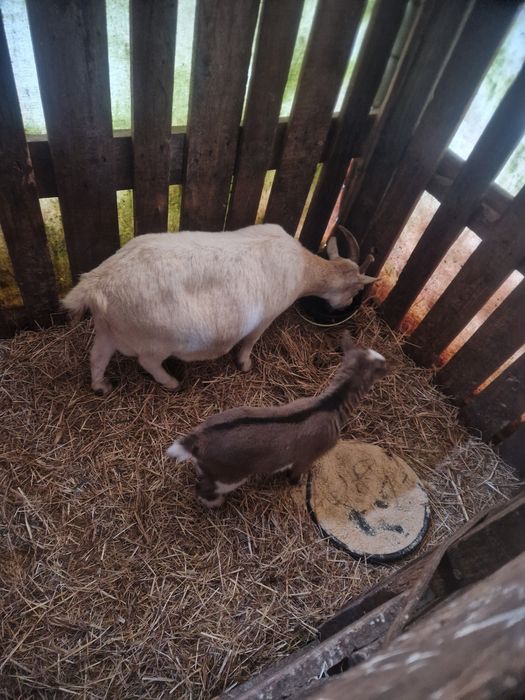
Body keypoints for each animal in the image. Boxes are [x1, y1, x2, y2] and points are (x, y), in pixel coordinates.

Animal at [62, 224, 375, 395]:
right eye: (355, 292)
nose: (346, 305)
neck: (303, 267)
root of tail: (97, 282)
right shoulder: (266, 316)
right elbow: (250, 342)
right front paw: (245, 365)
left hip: (107, 328)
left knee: (97, 357)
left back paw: (101, 386)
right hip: (156, 339)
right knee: (147, 362)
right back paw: (171, 381)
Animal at [166, 332, 388, 507]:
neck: (331, 403)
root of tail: (197, 440)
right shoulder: (308, 456)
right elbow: (296, 473)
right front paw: (296, 483)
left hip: (209, 467)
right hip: (228, 476)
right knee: (203, 488)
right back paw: (215, 503)